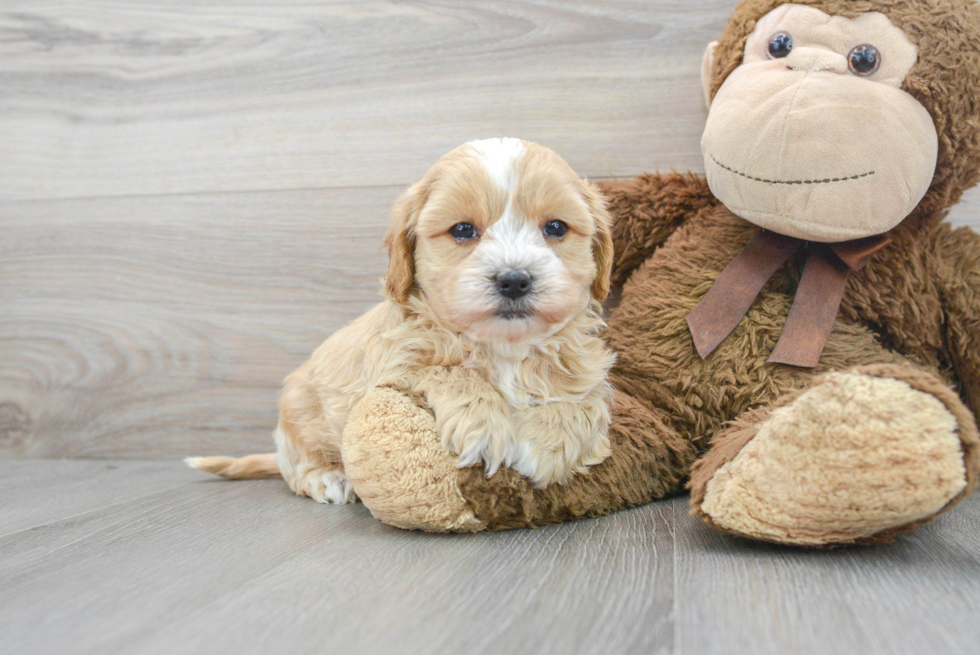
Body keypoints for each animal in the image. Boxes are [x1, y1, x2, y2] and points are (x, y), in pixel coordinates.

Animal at [189, 138, 616, 504]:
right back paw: (326, 477)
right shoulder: (395, 367)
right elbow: (450, 371)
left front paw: (549, 444)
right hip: (297, 411)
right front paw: (482, 424)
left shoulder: (585, 370)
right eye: (463, 229)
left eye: (556, 227)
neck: (502, 347)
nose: (514, 279)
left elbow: (585, 404)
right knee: (296, 466)